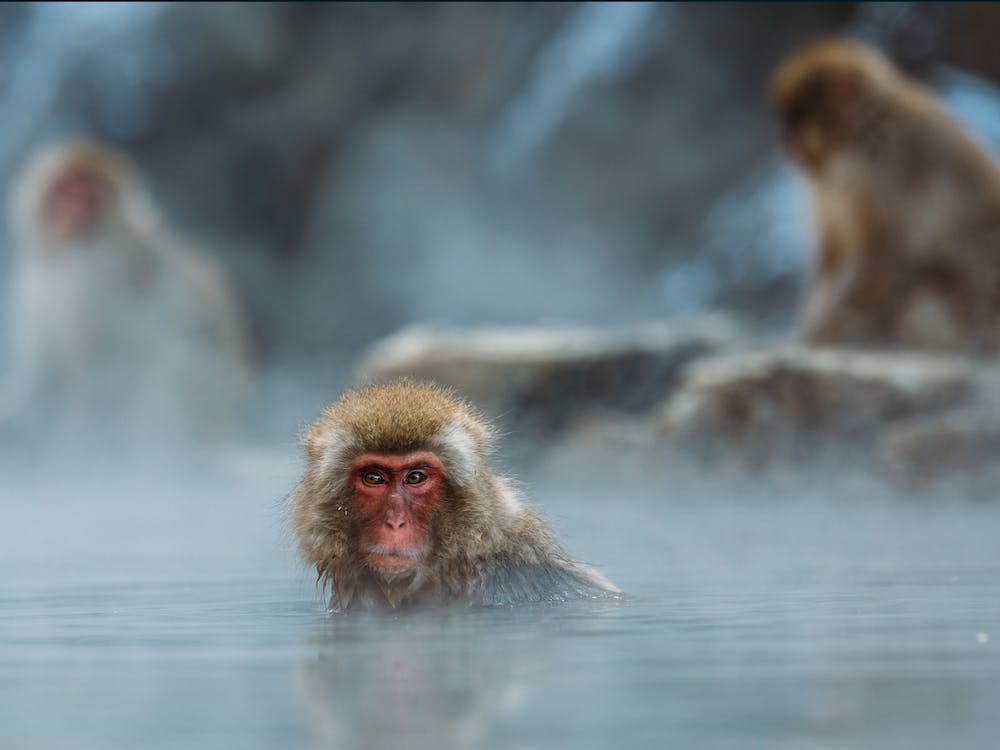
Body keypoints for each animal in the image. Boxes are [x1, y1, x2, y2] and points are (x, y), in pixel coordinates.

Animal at [0, 140, 252, 449]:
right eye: (65, 189)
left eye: (88, 198)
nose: (70, 214)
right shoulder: (34, 282)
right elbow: (45, 376)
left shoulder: (90, 282)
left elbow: (101, 362)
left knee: (167, 360)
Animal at [770, 38, 1000, 354]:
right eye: (787, 117)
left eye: (798, 116)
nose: (785, 138)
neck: (859, 135)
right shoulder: (827, 187)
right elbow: (833, 253)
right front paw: (811, 329)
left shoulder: (884, 173)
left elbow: (882, 255)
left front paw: (822, 332)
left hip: (972, 297)